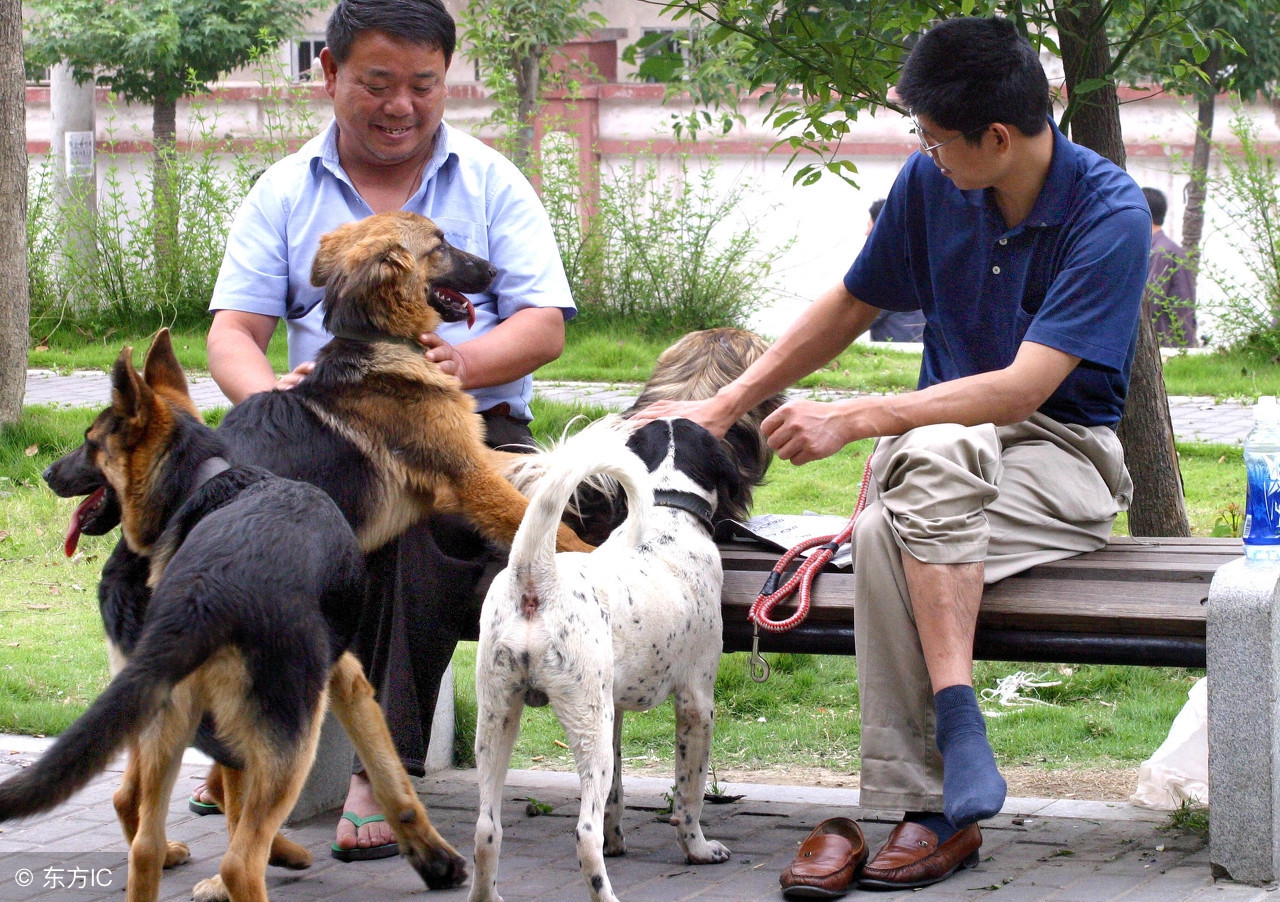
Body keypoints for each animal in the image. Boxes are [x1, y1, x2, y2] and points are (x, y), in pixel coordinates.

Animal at [0, 330, 471, 900]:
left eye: (90, 443)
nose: (46, 472)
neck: (210, 479)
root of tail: (204, 596)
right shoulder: (347, 680)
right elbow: (390, 778)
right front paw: (434, 858)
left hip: (167, 719)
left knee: (143, 835)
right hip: (290, 735)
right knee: (239, 856)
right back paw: (257, 864)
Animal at [473, 417, 742, 900]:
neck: (666, 516)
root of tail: (536, 575)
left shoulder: (613, 710)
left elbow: (617, 793)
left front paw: (618, 840)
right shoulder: (696, 703)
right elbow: (689, 793)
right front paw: (697, 849)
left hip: (499, 718)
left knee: (487, 827)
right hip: (586, 726)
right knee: (583, 833)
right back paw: (607, 893)